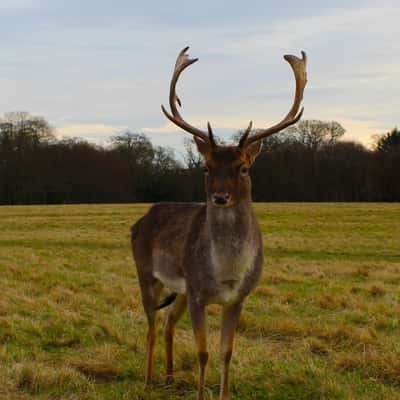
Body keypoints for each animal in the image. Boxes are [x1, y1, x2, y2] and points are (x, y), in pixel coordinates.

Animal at [131, 47, 306, 400]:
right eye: (206, 167)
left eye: (243, 167)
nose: (221, 197)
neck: (227, 274)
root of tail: (138, 221)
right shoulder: (198, 292)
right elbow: (203, 352)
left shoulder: (237, 297)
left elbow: (226, 352)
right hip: (146, 273)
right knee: (152, 325)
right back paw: (148, 380)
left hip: (179, 289)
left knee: (168, 323)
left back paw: (170, 377)